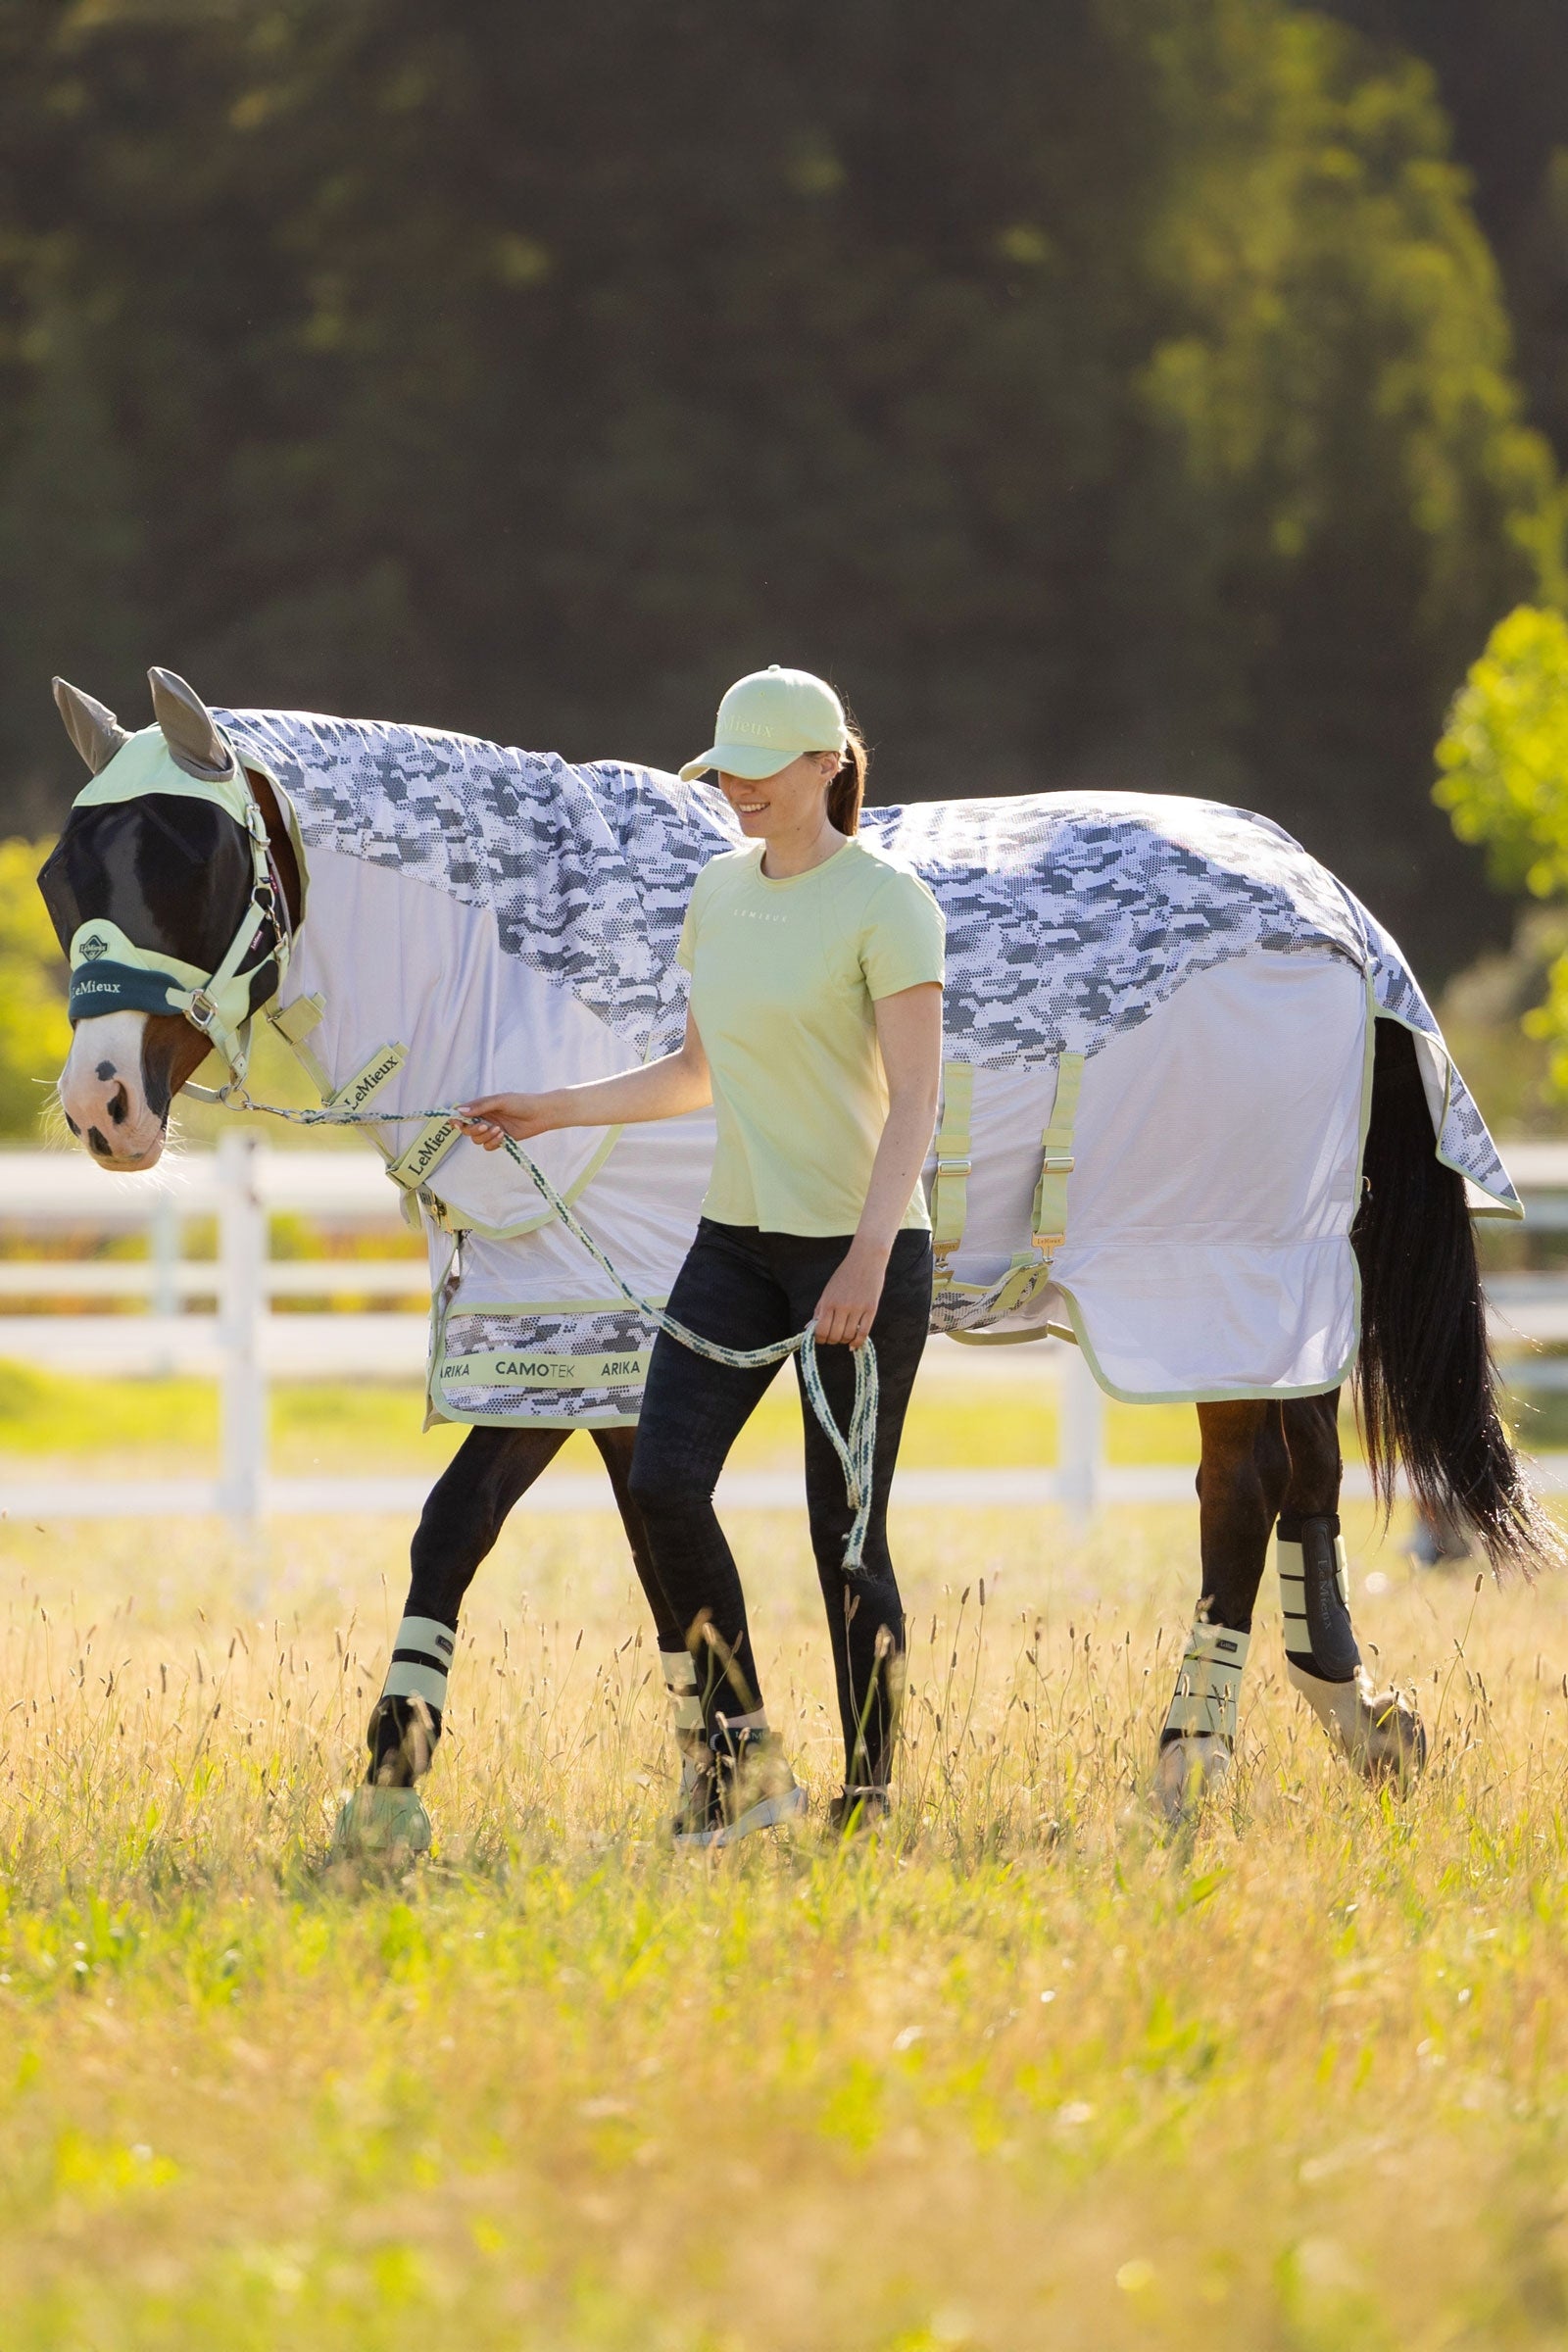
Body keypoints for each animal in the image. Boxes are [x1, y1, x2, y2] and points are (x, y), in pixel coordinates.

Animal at [39, 667, 1557, 1841]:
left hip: (1211, 1283)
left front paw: (697, 1781)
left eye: (193, 863)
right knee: (1307, 1475)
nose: (100, 1103)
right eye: (64, 876)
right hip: (1280, 1292)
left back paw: (1184, 1773)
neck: (514, 977)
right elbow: (572, 1547)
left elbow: (546, 1536)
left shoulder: (617, 1328)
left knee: (1239, 1492)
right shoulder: (588, 1341)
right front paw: (638, 1789)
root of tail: (1329, 905)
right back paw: (1362, 1725)